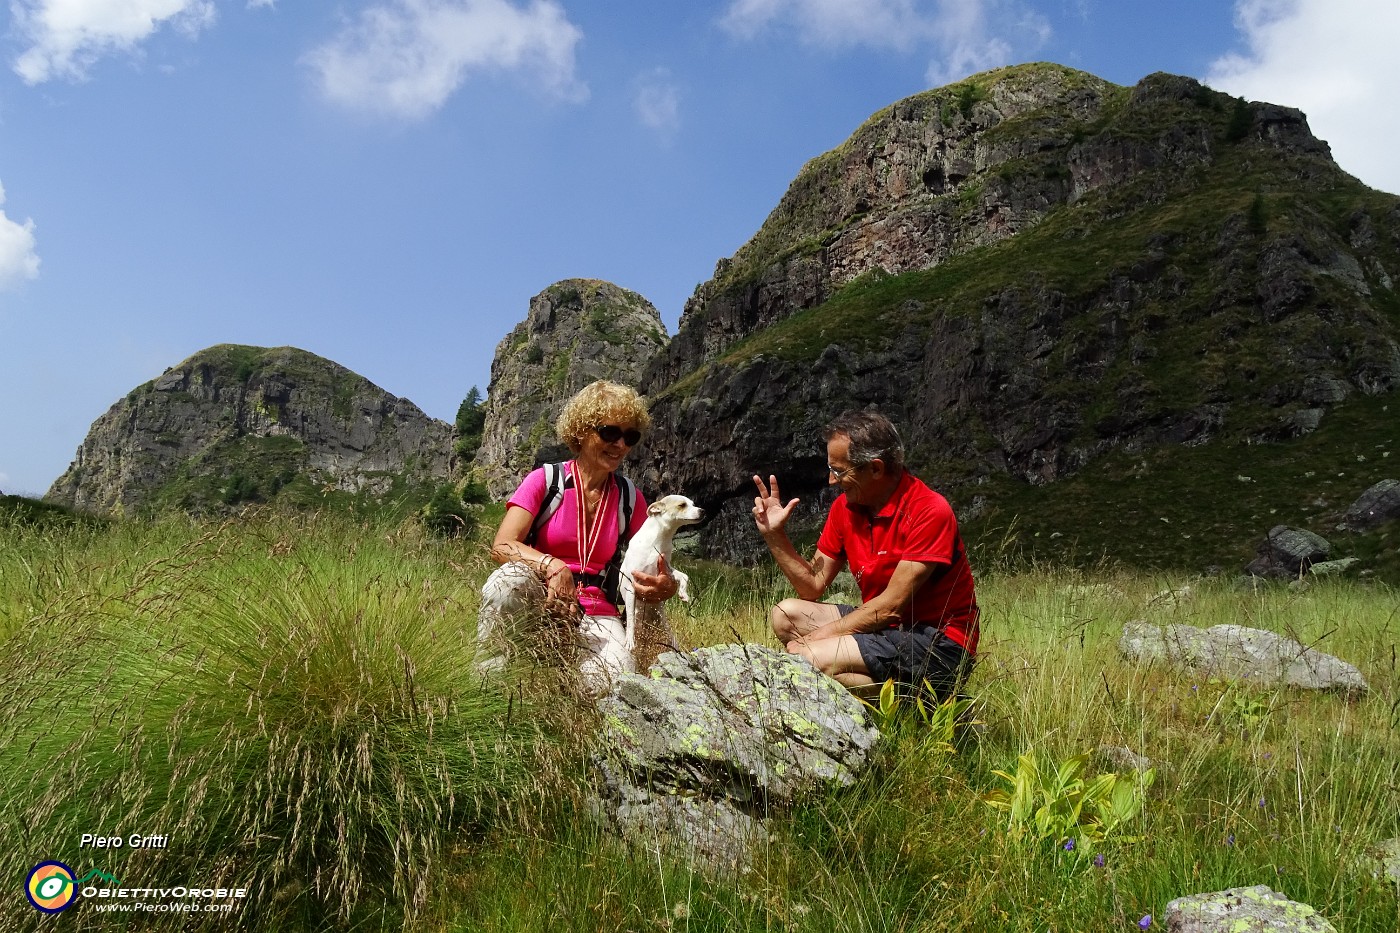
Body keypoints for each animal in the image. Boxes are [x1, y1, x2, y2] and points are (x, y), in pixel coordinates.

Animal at [621, 493, 705, 652]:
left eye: (693, 504)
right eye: (682, 505)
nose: (702, 510)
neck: (658, 540)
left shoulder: (667, 569)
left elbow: (685, 576)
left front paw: (683, 593)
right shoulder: (631, 587)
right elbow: (630, 619)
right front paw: (629, 640)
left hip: (668, 636)